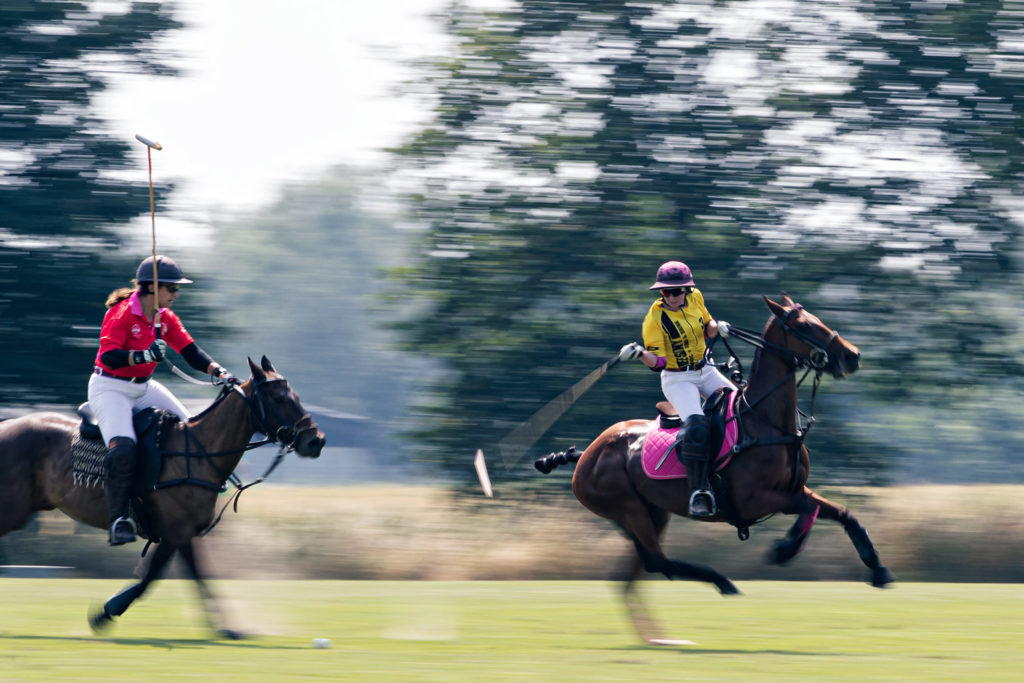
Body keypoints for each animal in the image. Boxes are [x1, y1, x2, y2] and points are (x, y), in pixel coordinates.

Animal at [0, 356, 323, 638]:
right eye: (278, 399)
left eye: (295, 394)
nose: (316, 441)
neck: (199, 454)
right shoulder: (176, 531)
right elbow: (164, 576)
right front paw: (105, 613)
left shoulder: (182, 534)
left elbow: (172, 575)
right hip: (13, 510)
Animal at [540, 296, 892, 643]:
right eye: (805, 326)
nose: (852, 355)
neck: (765, 421)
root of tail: (587, 454)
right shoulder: (758, 500)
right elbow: (809, 512)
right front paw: (783, 550)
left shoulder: (796, 490)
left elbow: (845, 515)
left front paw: (879, 571)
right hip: (627, 507)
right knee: (657, 561)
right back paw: (721, 583)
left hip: (652, 511)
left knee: (635, 572)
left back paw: (659, 638)